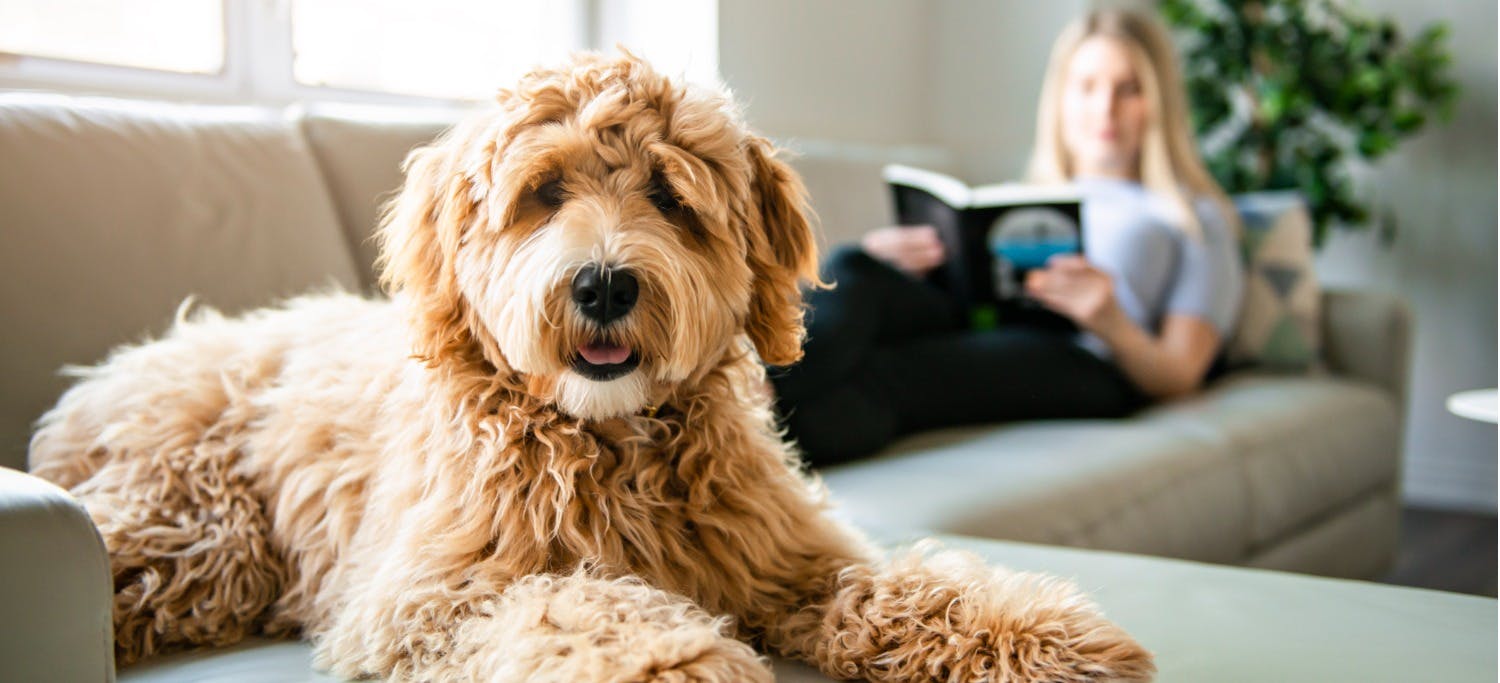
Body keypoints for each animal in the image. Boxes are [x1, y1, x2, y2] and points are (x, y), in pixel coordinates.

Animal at [29, 53, 1152, 683]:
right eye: (543, 191)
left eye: (669, 194)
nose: (605, 284)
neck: (611, 439)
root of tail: (124, 363)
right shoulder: (433, 593)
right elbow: (576, 606)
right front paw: (673, 659)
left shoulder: (790, 555)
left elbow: (906, 585)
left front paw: (1042, 635)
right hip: (196, 531)